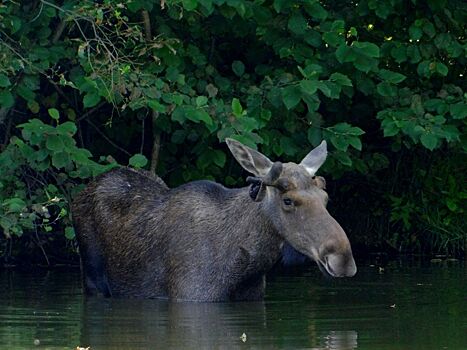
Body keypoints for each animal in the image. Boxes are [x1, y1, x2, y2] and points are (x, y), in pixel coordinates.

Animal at [73, 139, 356, 300]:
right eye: (288, 200)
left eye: (325, 197)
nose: (342, 258)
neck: (246, 266)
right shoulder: (191, 296)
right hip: (93, 277)